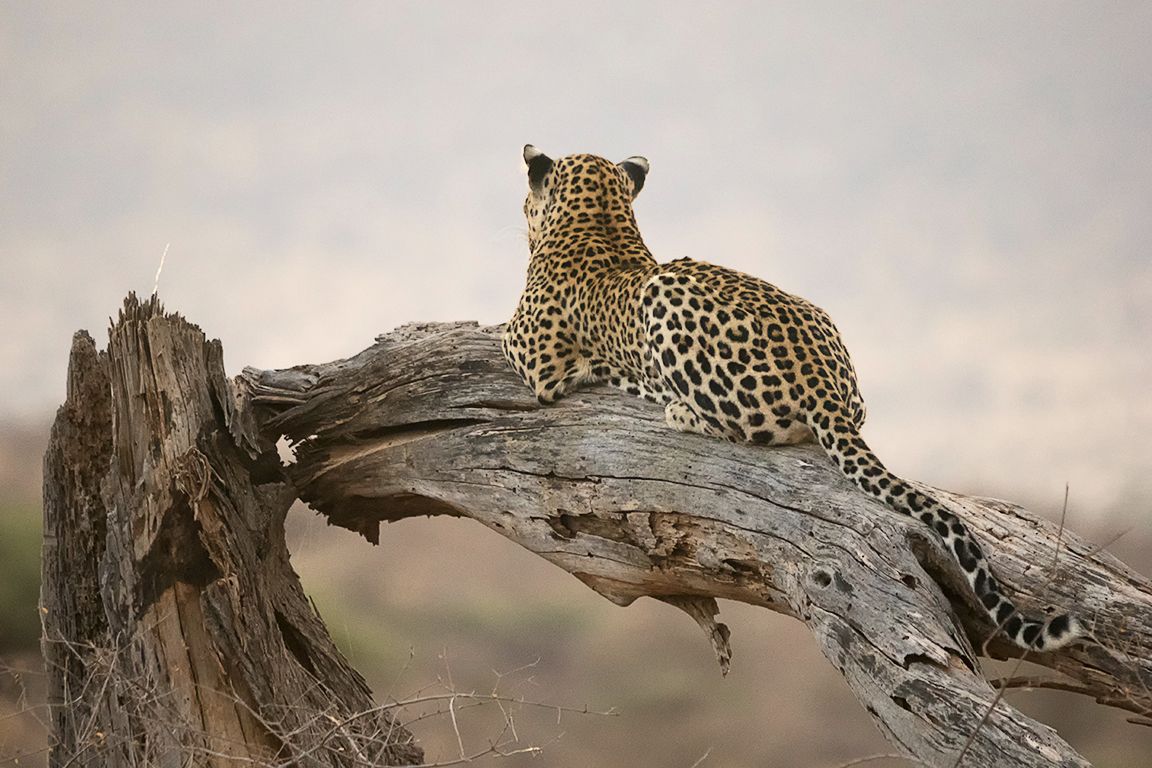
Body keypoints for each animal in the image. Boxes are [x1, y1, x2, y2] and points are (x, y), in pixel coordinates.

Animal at [502, 144, 1083, 652]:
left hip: (668, 298)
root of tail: (823, 385)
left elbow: (502, 334)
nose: (520, 217)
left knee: (742, 426)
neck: (600, 218)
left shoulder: (534, 359)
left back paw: (678, 408)